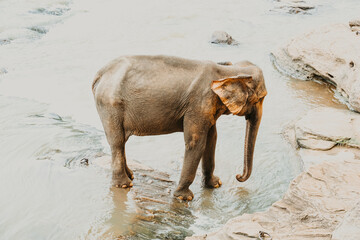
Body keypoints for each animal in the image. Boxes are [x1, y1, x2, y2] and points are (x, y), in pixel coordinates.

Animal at [92, 54, 268, 201]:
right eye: (260, 98)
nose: (238, 176)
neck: (227, 72)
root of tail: (100, 73)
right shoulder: (198, 105)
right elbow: (196, 143)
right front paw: (185, 197)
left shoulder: (207, 108)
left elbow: (212, 139)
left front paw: (215, 184)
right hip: (110, 105)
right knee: (117, 141)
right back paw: (124, 184)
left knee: (120, 142)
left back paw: (130, 176)